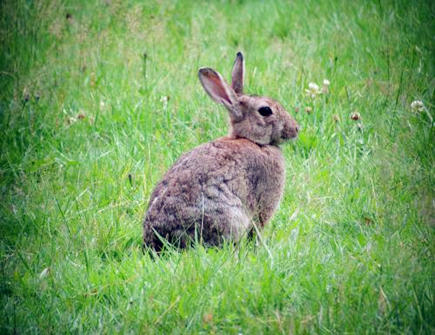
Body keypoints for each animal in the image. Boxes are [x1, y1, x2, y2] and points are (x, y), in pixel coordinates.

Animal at [143, 52, 300, 252]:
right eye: (265, 110)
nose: (296, 129)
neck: (253, 141)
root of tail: (157, 242)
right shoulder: (264, 204)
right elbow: (257, 229)